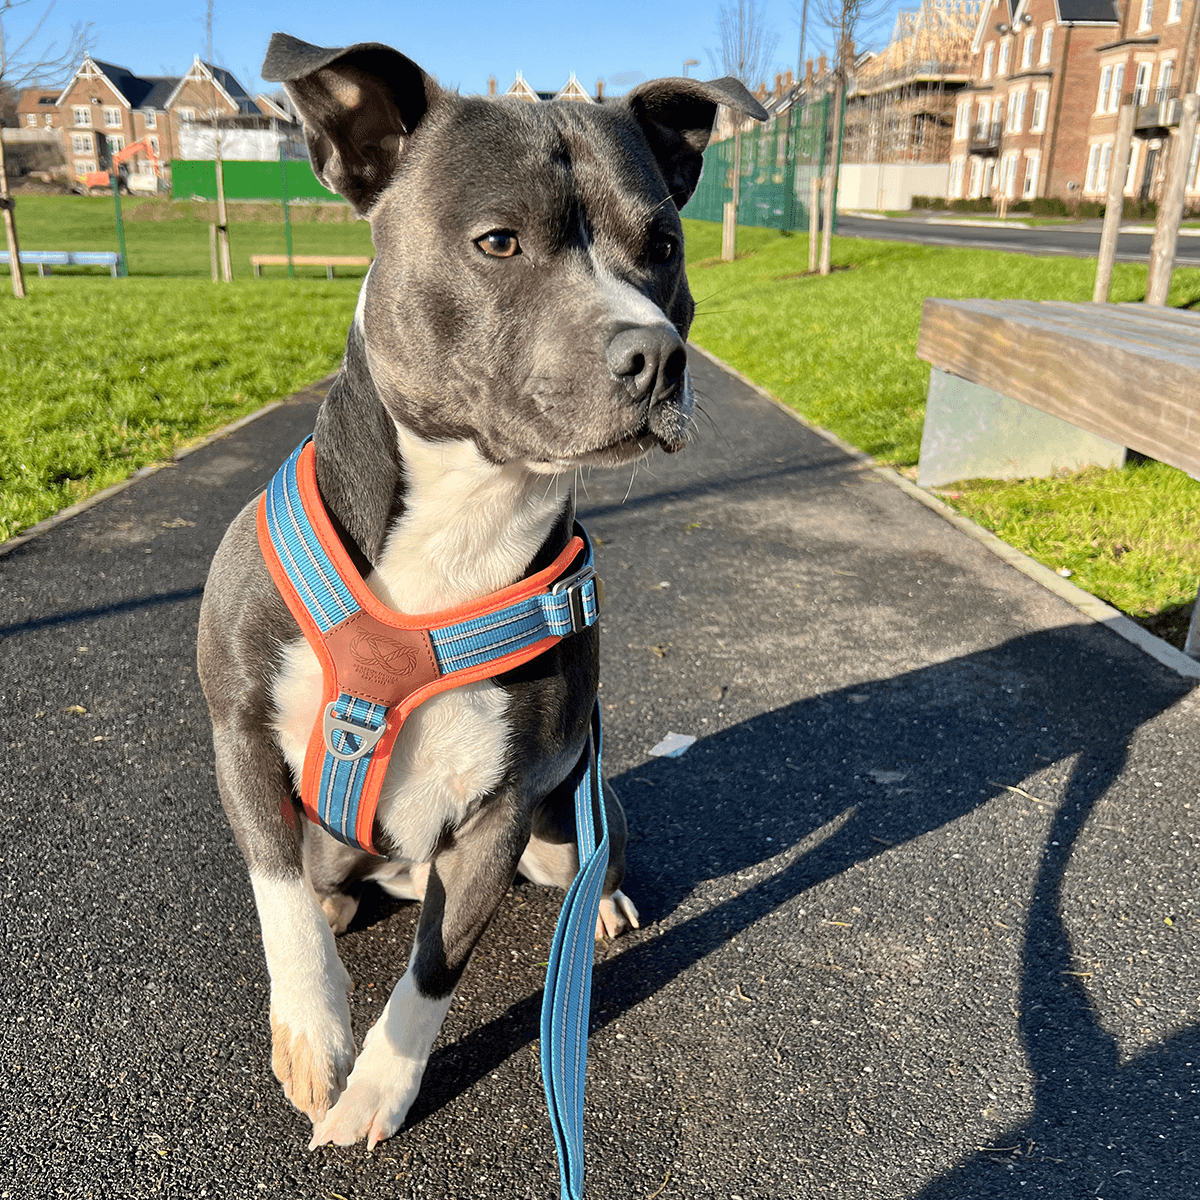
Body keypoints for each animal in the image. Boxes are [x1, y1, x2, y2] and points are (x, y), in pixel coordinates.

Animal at [193, 30, 763, 1152]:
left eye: (664, 245)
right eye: (498, 242)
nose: (658, 354)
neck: (465, 518)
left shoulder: (499, 816)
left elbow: (430, 976)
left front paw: (379, 1088)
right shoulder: (238, 730)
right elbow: (278, 895)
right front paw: (315, 1034)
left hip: (571, 821)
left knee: (582, 867)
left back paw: (605, 907)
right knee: (322, 885)